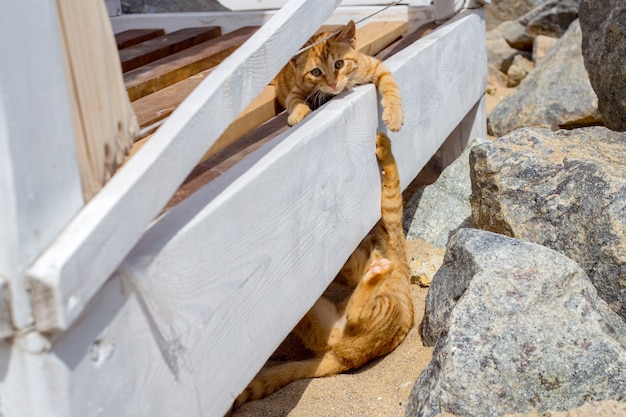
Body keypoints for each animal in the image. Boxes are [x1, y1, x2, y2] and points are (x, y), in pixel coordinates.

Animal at [234, 132, 414, 404]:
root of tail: (344, 361)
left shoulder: (389, 220)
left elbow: (392, 177)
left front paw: (385, 147)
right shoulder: (358, 261)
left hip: (385, 308)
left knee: (356, 313)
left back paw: (376, 275)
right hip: (316, 317)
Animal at [274, 20, 402, 131]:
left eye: (339, 64)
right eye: (316, 72)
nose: (332, 83)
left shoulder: (373, 65)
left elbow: (390, 86)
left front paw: (394, 115)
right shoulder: (295, 91)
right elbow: (295, 102)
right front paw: (298, 114)